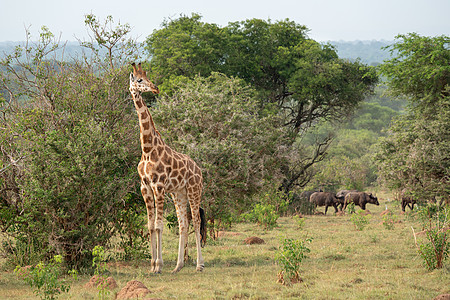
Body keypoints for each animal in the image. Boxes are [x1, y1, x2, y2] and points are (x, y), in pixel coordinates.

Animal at [128, 62, 206, 274]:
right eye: (139, 79)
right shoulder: (145, 187)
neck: (147, 149)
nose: (155, 88)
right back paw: (178, 266)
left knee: (196, 220)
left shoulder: (159, 186)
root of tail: (199, 170)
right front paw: (152, 265)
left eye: (147, 77)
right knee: (183, 223)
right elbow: (150, 225)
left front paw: (158, 265)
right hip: (179, 193)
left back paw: (199, 264)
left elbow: (159, 225)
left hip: (194, 190)